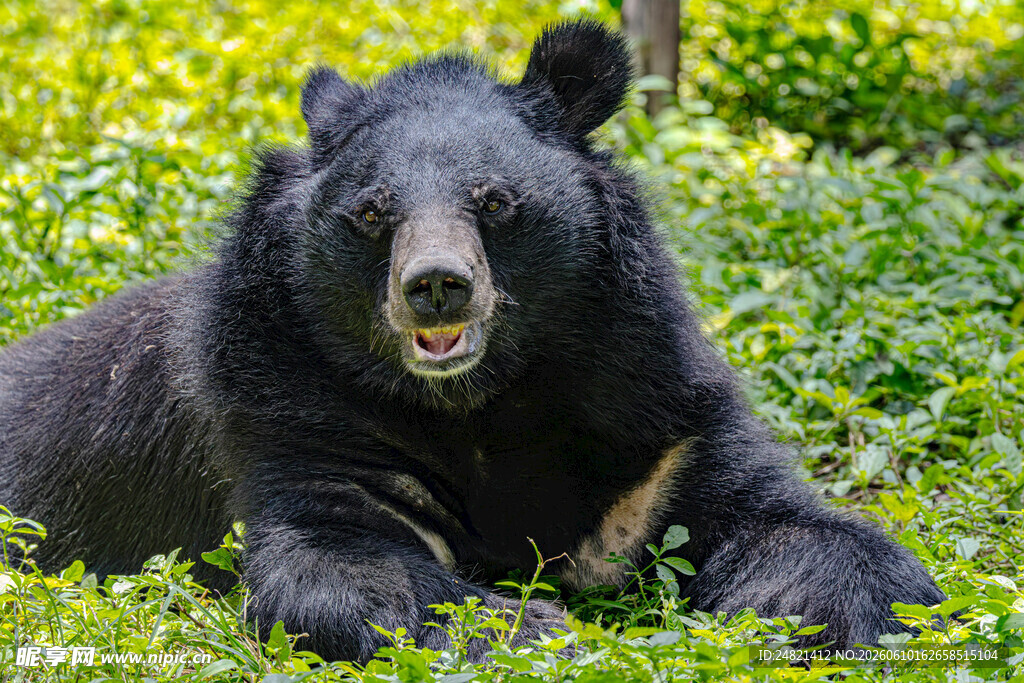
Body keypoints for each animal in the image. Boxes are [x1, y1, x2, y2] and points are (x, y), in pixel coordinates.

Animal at [0, 20, 945, 662]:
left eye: (494, 201)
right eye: (372, 212)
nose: (436, 284)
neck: (481, 402)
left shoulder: (651, 406)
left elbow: (786, 523)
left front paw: (872, 617)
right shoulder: (289, 412)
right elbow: (338, 570)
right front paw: (534, 626)